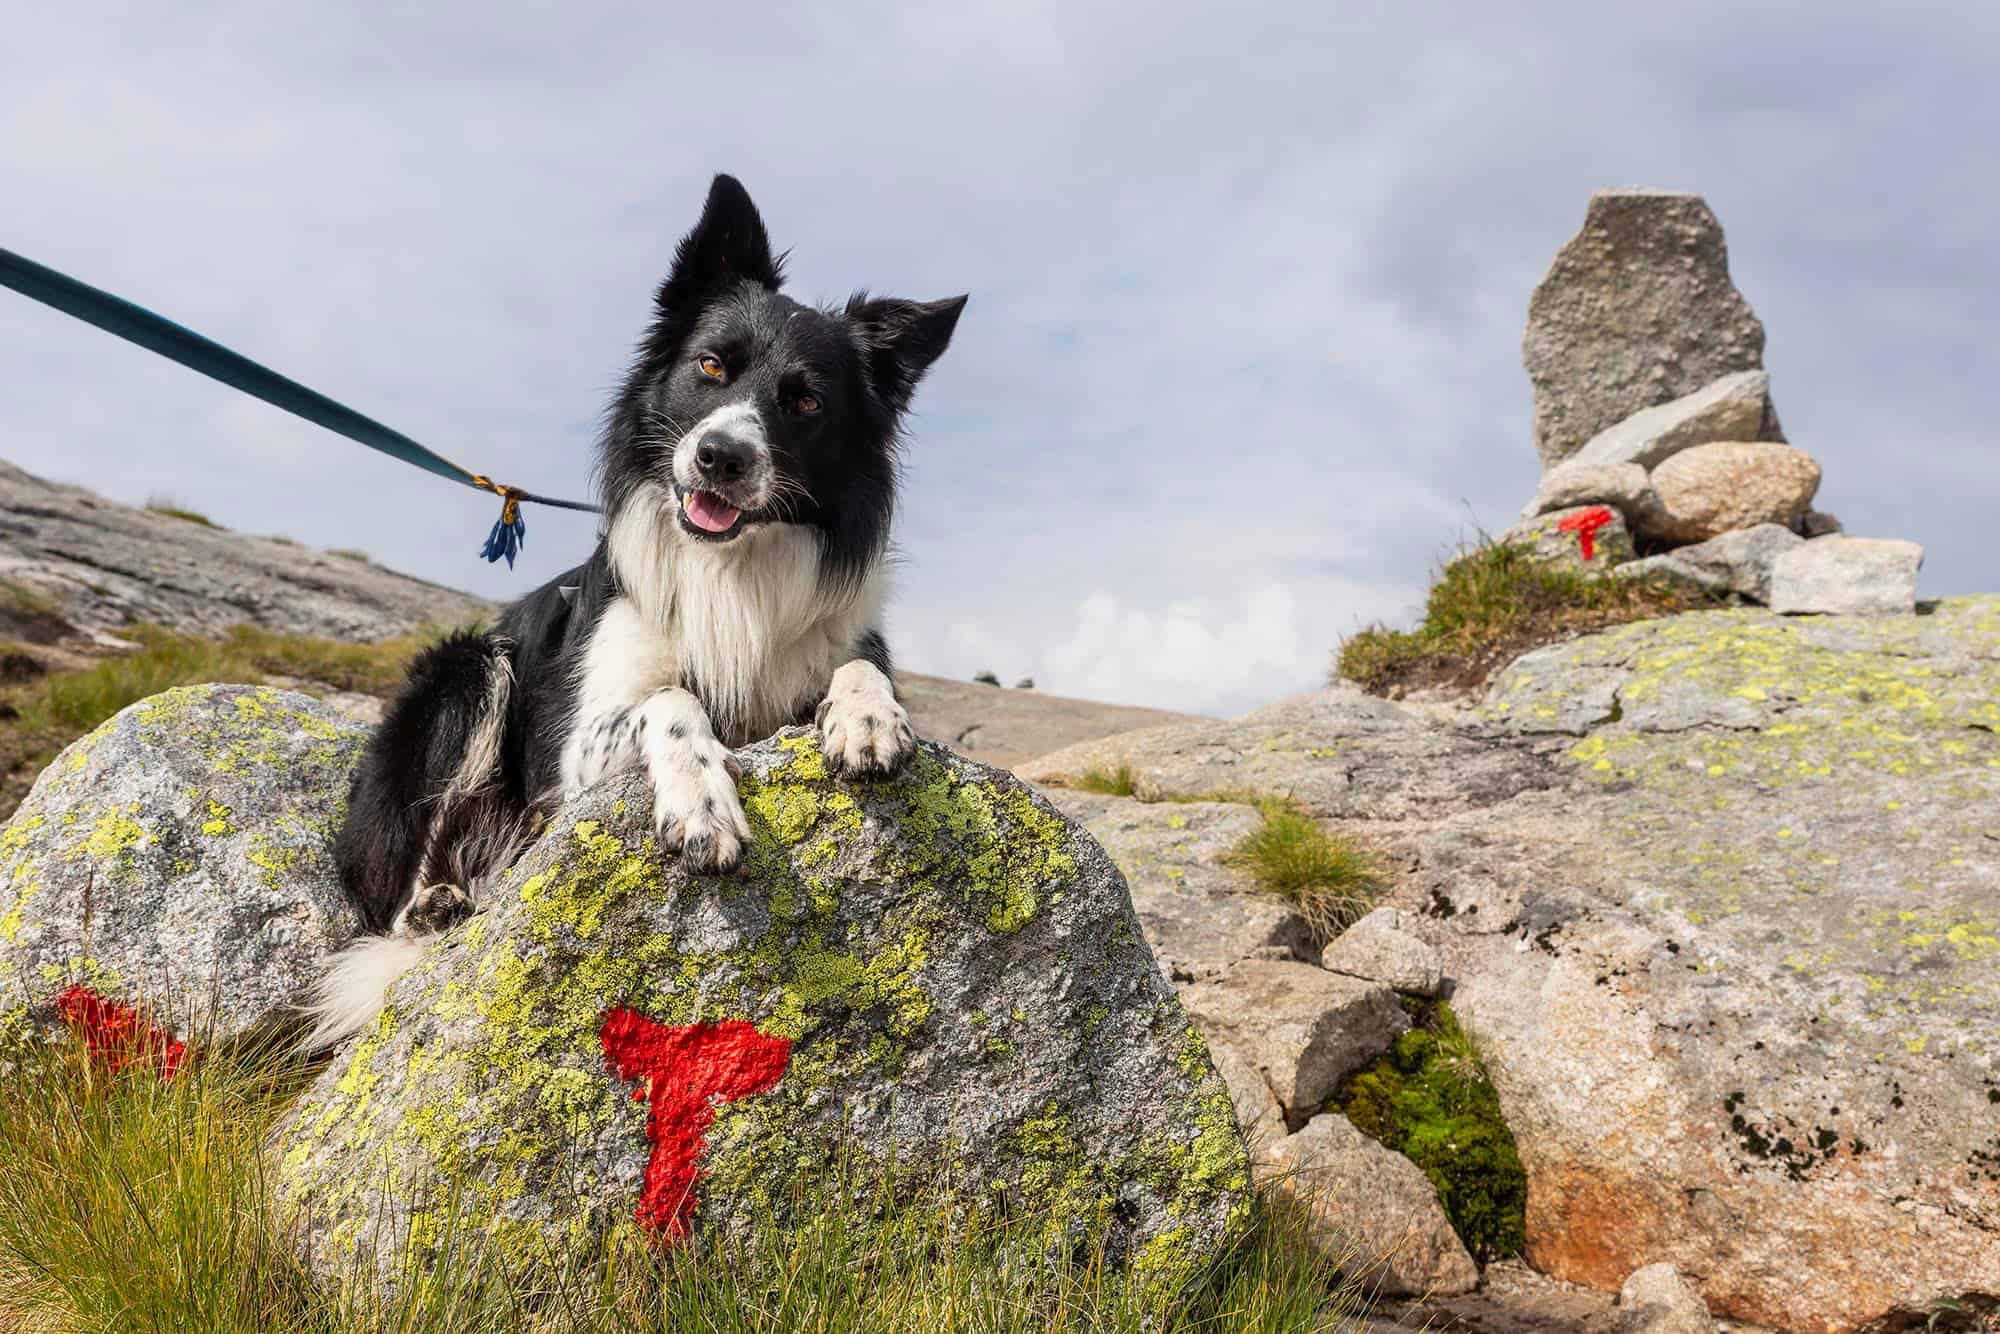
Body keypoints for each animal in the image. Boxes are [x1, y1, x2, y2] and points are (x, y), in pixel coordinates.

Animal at [306, 175, 968, 1056]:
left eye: (805, 402)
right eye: (712, 365)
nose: (721, 457)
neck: (728, 567)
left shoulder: (831, 645)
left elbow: (858, 666)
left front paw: (866, 718)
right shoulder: (575, 752)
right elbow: (672, 700)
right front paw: (702, 804)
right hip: (472, 670)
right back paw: (434, 904)